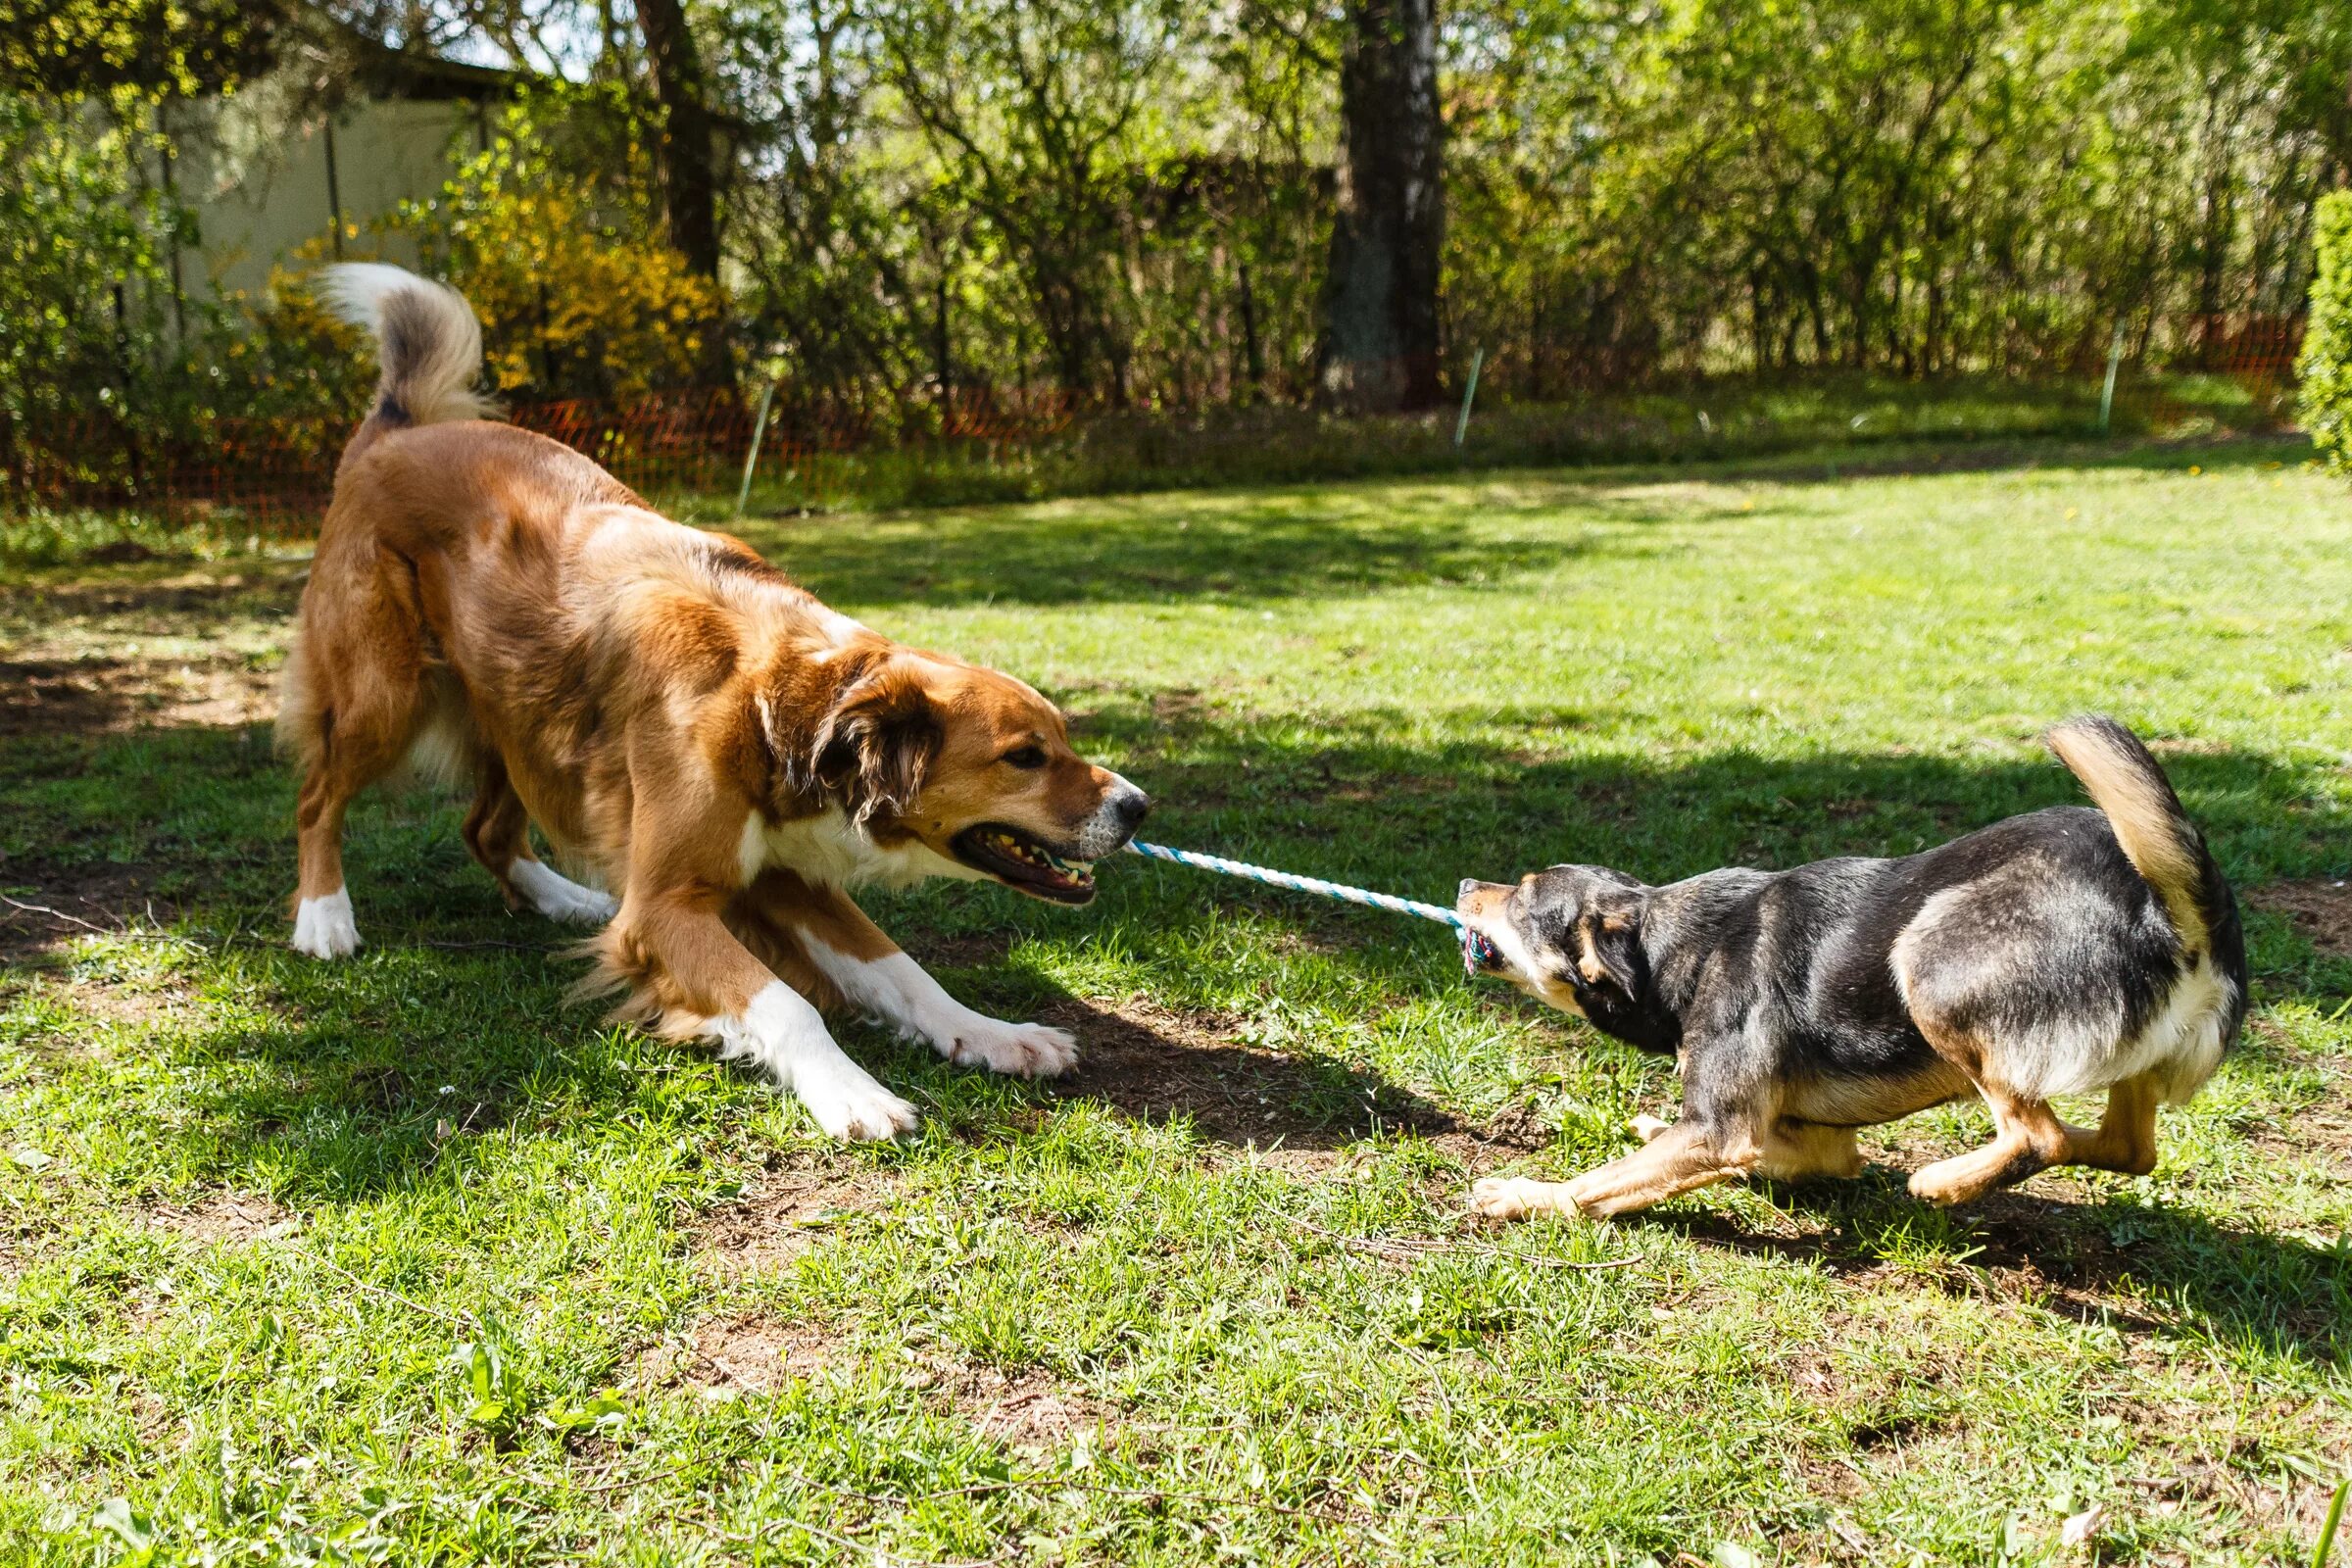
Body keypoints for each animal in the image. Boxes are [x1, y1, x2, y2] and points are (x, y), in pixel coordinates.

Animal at [279, 270, 1143, 1142]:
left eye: (1065, 738)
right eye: (1024, 757)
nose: (1138, 806)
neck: (786, 707)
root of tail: (395, 431)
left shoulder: (790, 879)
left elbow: (902, 971)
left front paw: (993, 1035)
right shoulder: (664, 908)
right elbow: (789, 1004)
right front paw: (853, 1092)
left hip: (521, 715)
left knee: (486, 829)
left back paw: (563, 899)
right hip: (385, 696)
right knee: (319, 799)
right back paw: (324, 918)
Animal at [1458, 719, 2248, 1222]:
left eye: (1522, 894)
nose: (1465, 885)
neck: (1668, 948)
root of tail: (2179, 912)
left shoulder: (1722, 1132)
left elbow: (1599, 1184)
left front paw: (1529, 1197)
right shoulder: (1811, 1141)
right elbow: (1758, 1157)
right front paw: (1651, 1133)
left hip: (1929, 957)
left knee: (2039, 1137)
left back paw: (1942, 1182)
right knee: (2126, 1150)